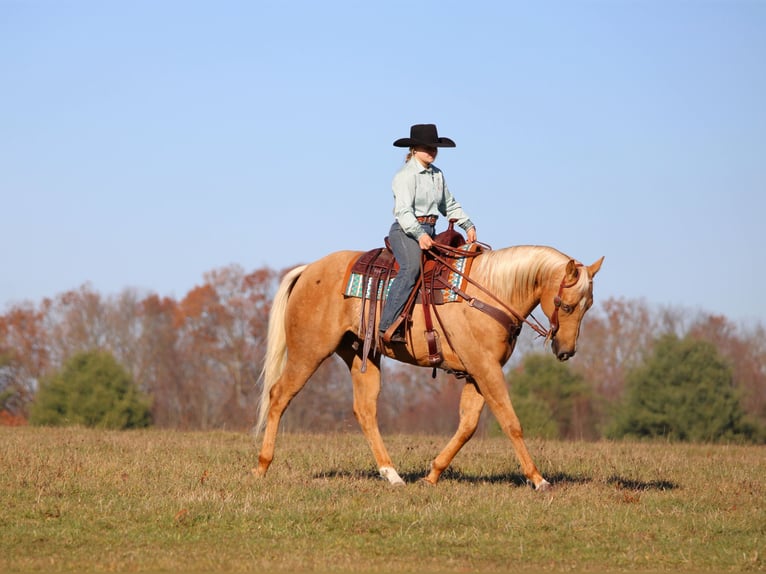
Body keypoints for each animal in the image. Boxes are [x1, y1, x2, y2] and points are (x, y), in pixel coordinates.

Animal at [254, 244, 604, 490]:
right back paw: (262, 466)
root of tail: (308, 270)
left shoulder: (477, 373)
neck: (489, 293)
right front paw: (538, 478)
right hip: (308, 352)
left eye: (588, 305)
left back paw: (392, 474)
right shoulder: (486, 368)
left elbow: (468, 425)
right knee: (279, 396)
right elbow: (510, 422)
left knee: (365, 410)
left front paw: (432, 474)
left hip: (359, 355)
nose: (566, 351)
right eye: (566, 305)